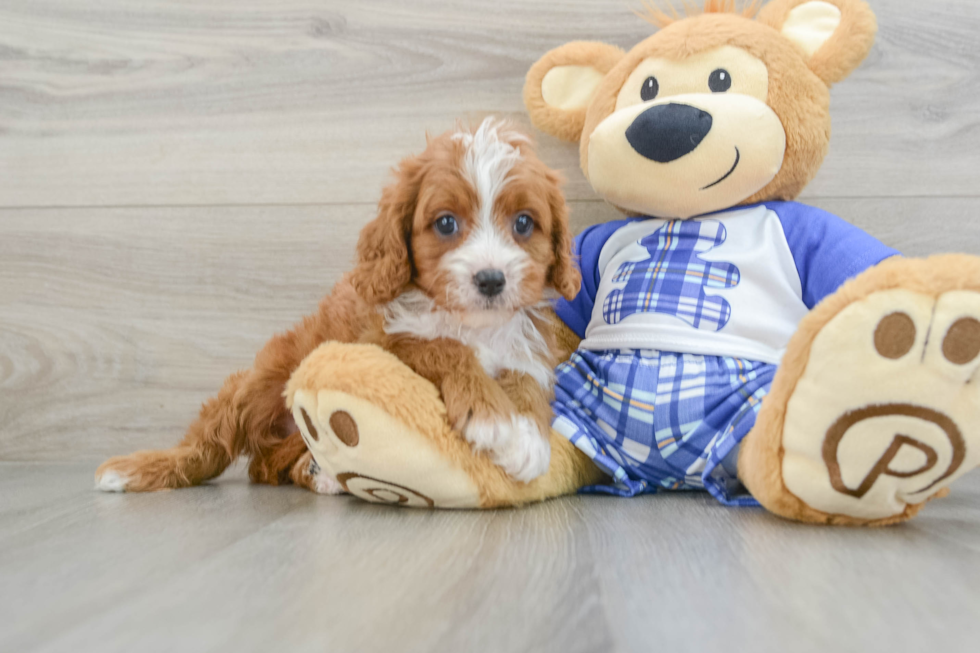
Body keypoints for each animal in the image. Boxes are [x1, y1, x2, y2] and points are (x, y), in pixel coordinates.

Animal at [95, 118, 580, 494]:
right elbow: (445, 347)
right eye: (445, 223)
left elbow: (526, 379)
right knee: (212, 444)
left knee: (267, 466)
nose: (491, 280)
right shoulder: (382, 342)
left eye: (524, 223)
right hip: (263, 378)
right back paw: (139, 469)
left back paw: (318, 471)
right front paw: (494, 418)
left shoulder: (524, 346)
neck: (474, 324)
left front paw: (528, 437)